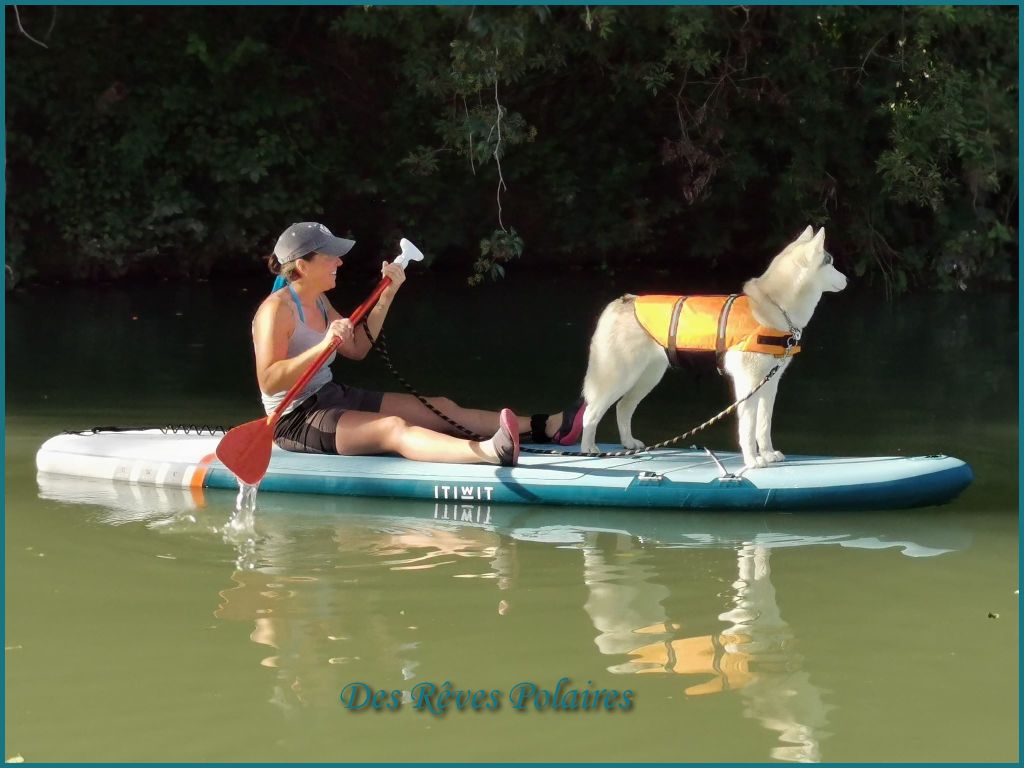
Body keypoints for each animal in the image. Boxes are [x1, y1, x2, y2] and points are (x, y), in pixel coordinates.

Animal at [581, 227, 843, 468]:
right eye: (830, 262)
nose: (846, 279)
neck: (775, 307)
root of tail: (623, 300)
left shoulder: (769, 383)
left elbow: (763, 424)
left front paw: (767, 453)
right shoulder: (747, 383)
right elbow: (748, 427)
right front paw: (752, 459)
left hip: (648, 376)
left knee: (623, 407)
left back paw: (628, 443)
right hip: (619, 376)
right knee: (590, 413)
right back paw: (589, 449)